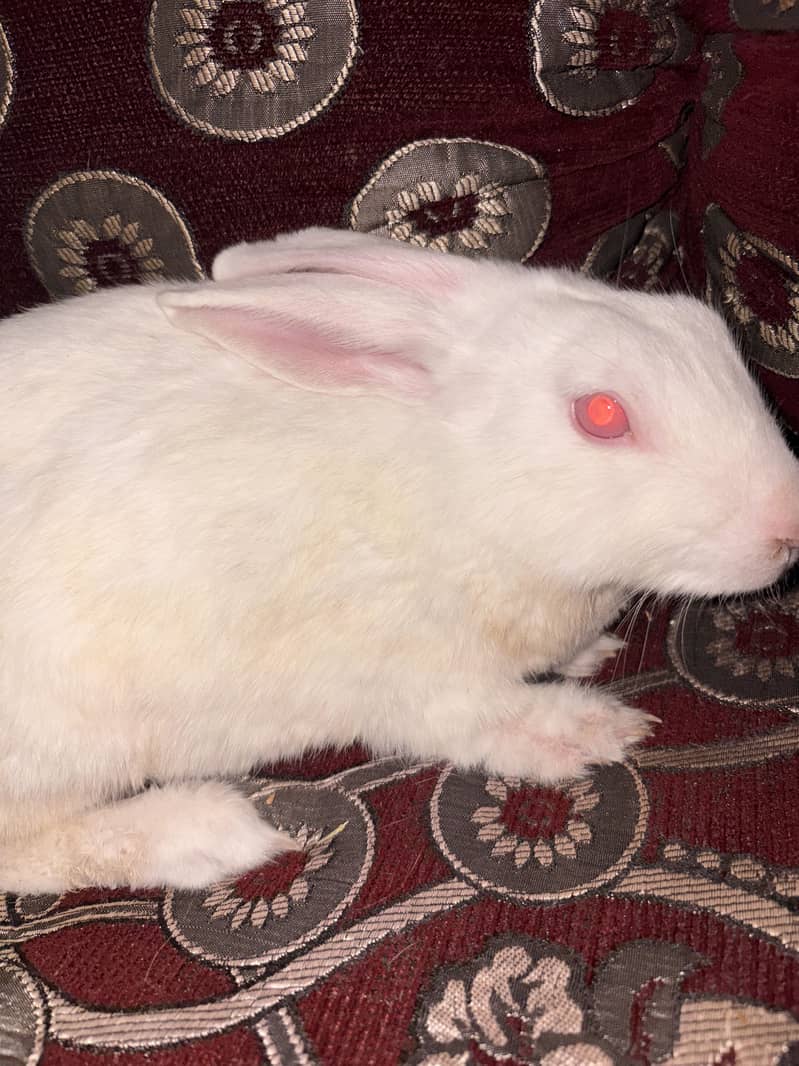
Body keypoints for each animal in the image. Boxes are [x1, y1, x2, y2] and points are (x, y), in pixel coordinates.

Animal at [0, 225, 797, 894]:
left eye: (702, 328)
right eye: (601, 415)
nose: (786, 525)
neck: (462, 486)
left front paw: (590, 654)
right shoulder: (412, 677)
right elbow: (483, 721)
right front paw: (588, 730)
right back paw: (208, 835)